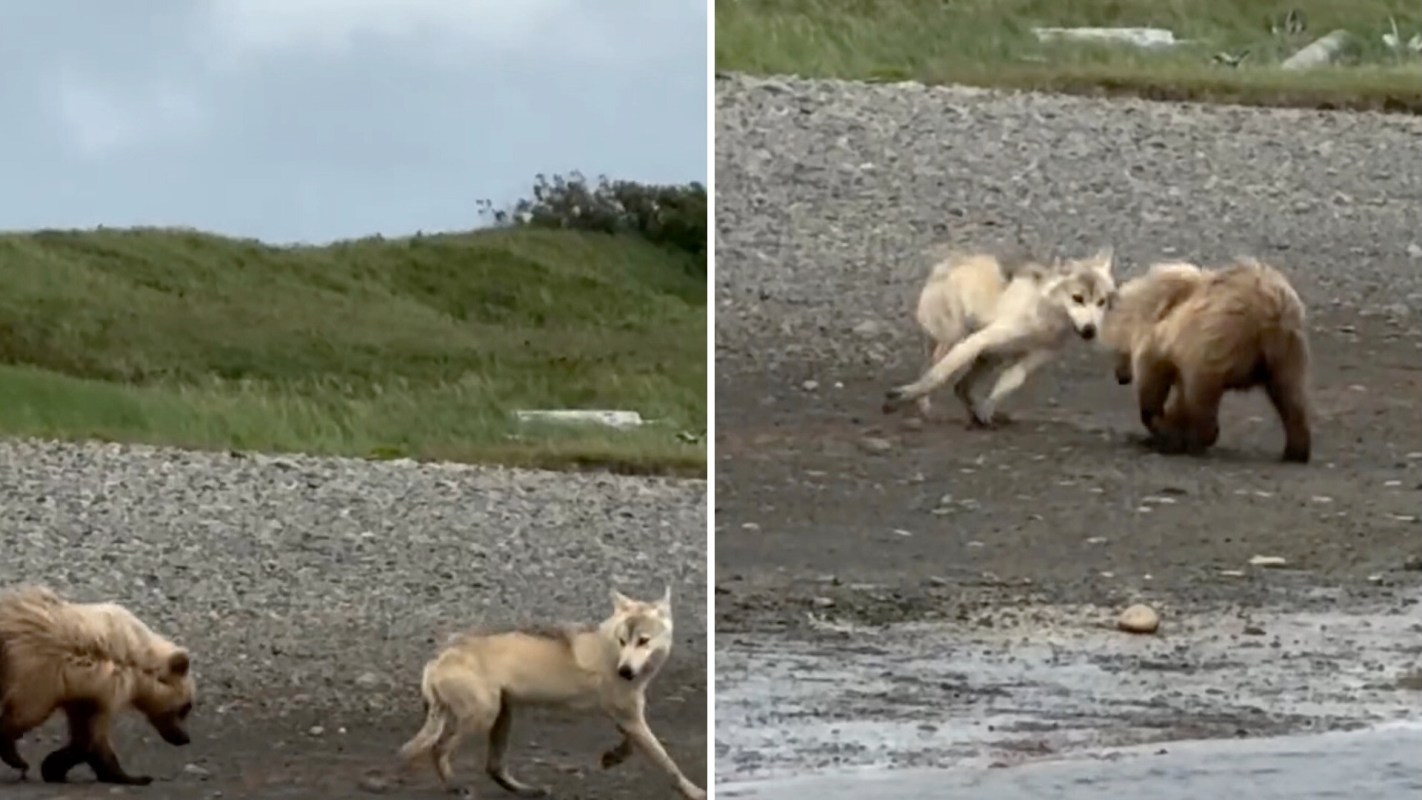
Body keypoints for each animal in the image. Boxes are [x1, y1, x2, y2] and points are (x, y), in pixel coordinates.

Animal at [0, 584, 196, 786]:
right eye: (186, 706)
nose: (185, 738)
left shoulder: (84, 690)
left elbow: (86, 732)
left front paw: (54, 766)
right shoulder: (75, 677)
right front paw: (136, 777)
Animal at [397, 587, 705, 800]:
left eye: (643, 641)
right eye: (623, 641)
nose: (625, 671)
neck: (612, 652)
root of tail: (437, 658)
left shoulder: (627, 716)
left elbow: (631, 746)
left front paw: (612, 757)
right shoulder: (629, 716)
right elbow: (667, 763)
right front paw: (693, 791)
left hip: (502, 714)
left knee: (493, 766)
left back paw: (526, 790)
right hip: (483, 715)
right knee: (440, 749)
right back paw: (455, 787)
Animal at [882, 247, 1118, 427]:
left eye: (1101, 302)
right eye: (1077, 298)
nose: (1090, 330)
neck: (1044, 318)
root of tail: (947, 263)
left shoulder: (1037, 357)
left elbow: (1009, 383)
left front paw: (988, 409)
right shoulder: (980, 340)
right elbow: (937, 375)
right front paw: (901, 396)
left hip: (990, 358)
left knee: (961, 387)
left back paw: (975, 413)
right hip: (955, 338)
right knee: (932, 369)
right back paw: (922, 404)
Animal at [1101, 257, 1312, 462]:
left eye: (1115, 352)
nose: (1120, 377)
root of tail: (1271, 309)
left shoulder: (1162, 343)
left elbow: (1153, 380)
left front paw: (1160, 425)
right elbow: (1180, 397)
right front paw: (1169, 429)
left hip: (1220, 337)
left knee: (1203, 393)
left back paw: (1196, 441)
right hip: (1288, 349)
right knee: (1290, 394)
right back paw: (1296, 451)